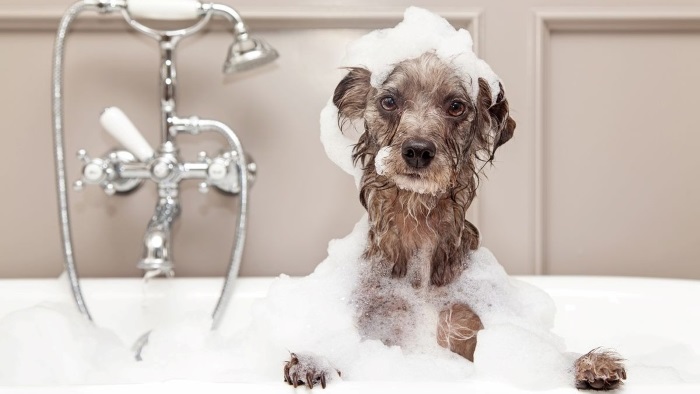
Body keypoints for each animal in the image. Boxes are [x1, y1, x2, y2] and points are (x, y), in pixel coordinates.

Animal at [282, 50, 628, 390]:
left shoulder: (467, 326)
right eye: (389, 101)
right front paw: (317, 361)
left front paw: (583, 364)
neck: (417, 227)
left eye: (456, 106)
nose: (418, 150)